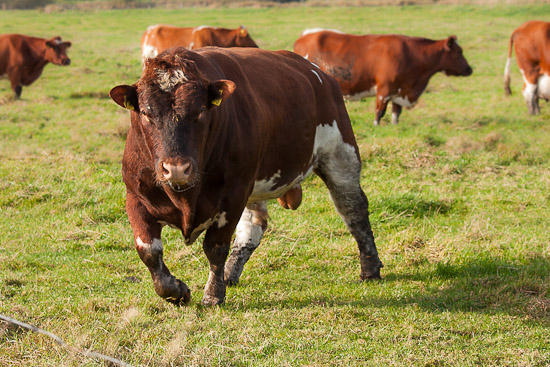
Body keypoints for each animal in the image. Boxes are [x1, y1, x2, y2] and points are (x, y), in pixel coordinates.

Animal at [109, 48, 384, 308]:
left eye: (200, 111)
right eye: (146, 113)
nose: (176, 169)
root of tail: (320, 74)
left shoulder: (232, 196)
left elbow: (215, 248)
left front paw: (212, 295)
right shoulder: (136, 197)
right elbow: (149, 251)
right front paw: (176, 291)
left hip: (341, 156)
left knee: (354, 210)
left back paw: (370, 268)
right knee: (253, 227)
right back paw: (230, 274)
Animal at [294, 29, 474, 126]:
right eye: (459, 52)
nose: (469, 69)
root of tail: (307, 35)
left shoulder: (399, 90)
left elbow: (396, 111)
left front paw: (394, 126)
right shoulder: (384, 89)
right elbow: (380, 111)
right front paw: (376, 125)